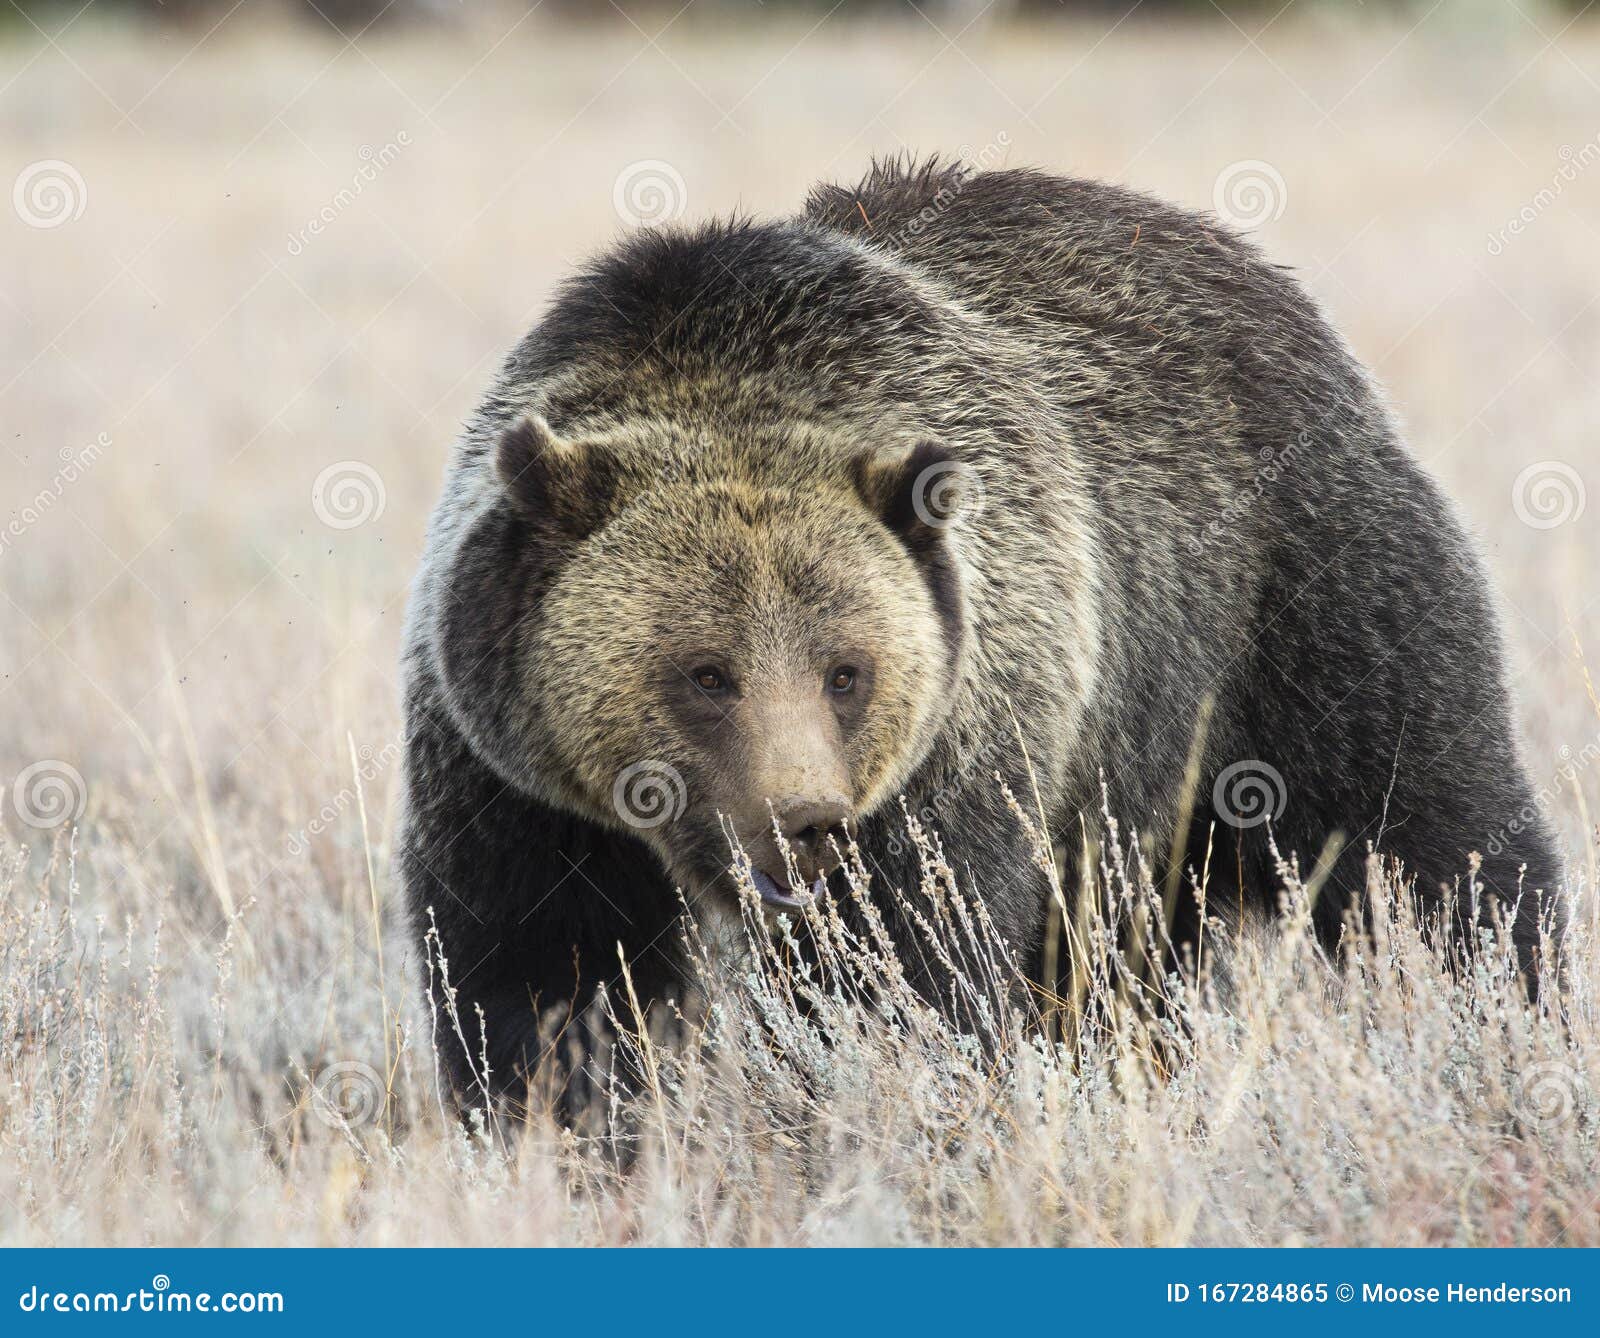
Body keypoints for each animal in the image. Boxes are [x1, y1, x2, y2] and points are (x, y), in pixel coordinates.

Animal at [400, 156, 1561, 1101]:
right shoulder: (514, 781)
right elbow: (540, 977)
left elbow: (898, 971)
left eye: (846, 670)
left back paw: (1511, 1009)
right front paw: (566, 1122)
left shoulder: (956, 750)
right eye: (704, 672)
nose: (804, 820)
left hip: (1290, 598)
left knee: (1431, 828)